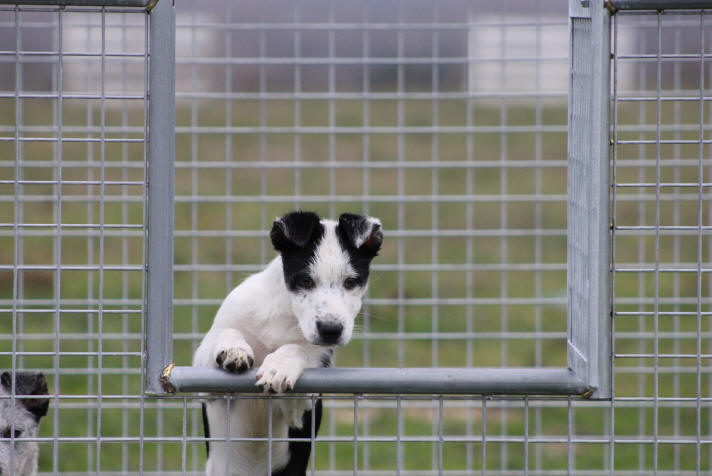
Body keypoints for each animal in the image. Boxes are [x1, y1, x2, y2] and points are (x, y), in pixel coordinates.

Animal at [193, 212, 384, 476]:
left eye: (351, 282)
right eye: (304, 280)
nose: (331, 331)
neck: (286, 317)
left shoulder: (303, 406)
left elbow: (297, 349)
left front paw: (279, 366)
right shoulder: (205, 383)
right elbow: (228, 331)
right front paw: (234, 350)